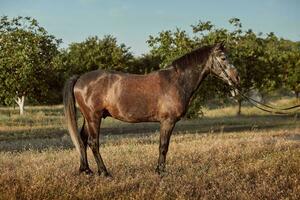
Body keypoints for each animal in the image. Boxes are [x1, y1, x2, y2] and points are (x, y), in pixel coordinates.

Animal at [62, 43, 239, 176]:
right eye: (223, 58)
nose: (236, 78)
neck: (176, 81)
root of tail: (80, 78)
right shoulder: (167, 121)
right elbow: (163, 146)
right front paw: (161, 171)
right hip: (94, 117)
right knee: (93, 143)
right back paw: (104, 172)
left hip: (89, 118)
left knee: (82, 139)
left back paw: (86, 170)